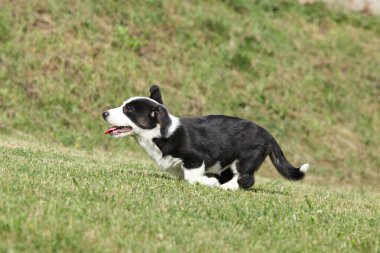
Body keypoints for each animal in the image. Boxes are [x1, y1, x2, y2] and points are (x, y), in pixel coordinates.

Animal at [103, 85, 308, 190]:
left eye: (128, 109)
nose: (104, 113)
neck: (159, 136)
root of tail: (268, 134)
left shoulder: (196, 158)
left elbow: (191, 177)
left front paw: (209, 182)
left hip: (245, 159)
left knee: (247, 178)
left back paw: (226, 187)